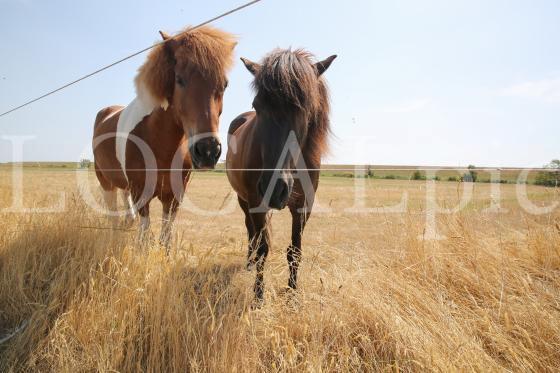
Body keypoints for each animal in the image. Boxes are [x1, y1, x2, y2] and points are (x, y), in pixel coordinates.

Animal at [92, 26, 236, 247]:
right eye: (179, 79)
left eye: (225, 84)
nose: (208, 150)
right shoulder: (141, 194)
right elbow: (144, 236)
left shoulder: (173, 196)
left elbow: (165, 237)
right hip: (105, 181)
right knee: (112, 214)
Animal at [225, 48, 334, 300]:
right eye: (257, 105)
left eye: (306, 107)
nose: (274, 189)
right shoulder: (256, 202)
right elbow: (263, 248)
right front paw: (258, 295)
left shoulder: (303, 207)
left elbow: (295, 251)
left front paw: (292, 293)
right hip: (243, 199)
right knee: (251, 232)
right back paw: (249, 263)